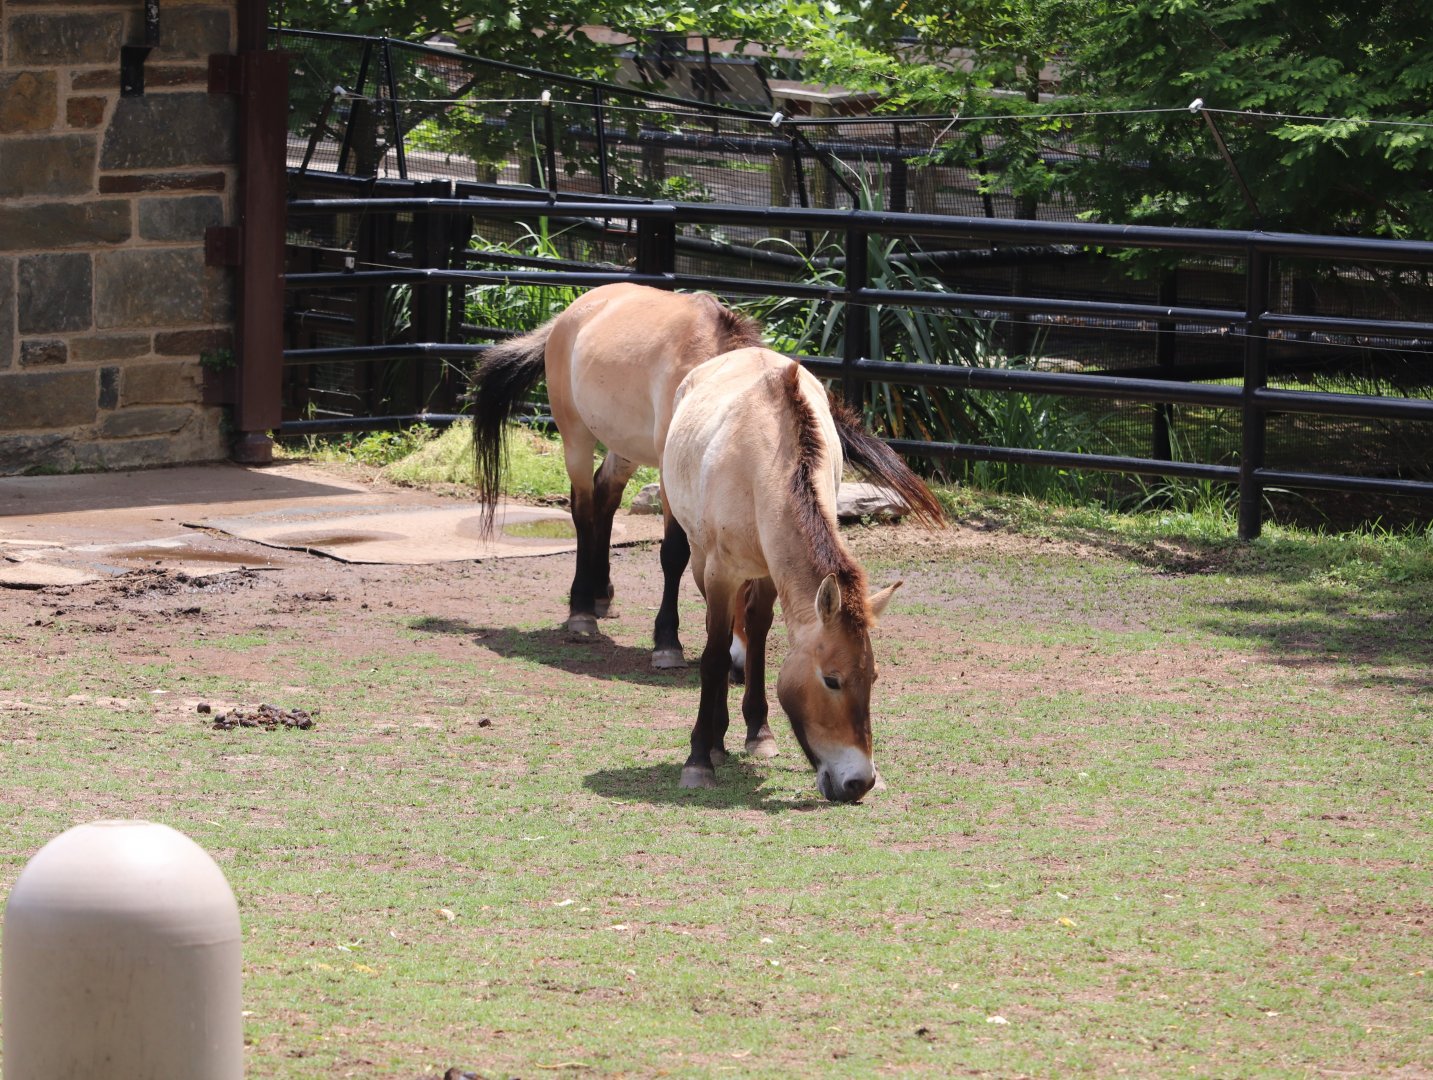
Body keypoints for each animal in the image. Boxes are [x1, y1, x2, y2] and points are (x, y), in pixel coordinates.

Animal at [469, 282, 942, 669]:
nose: (739, 663)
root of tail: (568, 316)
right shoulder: (672, 480)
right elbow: (673, 554)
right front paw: (667, 643)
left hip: (624, 448)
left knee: (605, 499)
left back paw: (603, 597)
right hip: (576, 437)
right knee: (584, 509)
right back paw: (582, 611)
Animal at [662, 346, 902, 802]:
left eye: (875, 676)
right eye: (831, 680)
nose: (859, 782)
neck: (764, 462)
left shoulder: (775, 574)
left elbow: (757, 636)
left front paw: (758, 734)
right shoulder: (721, 573)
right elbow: (714, 656)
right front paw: (699, 758)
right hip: (698, 555)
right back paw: (715, 741)